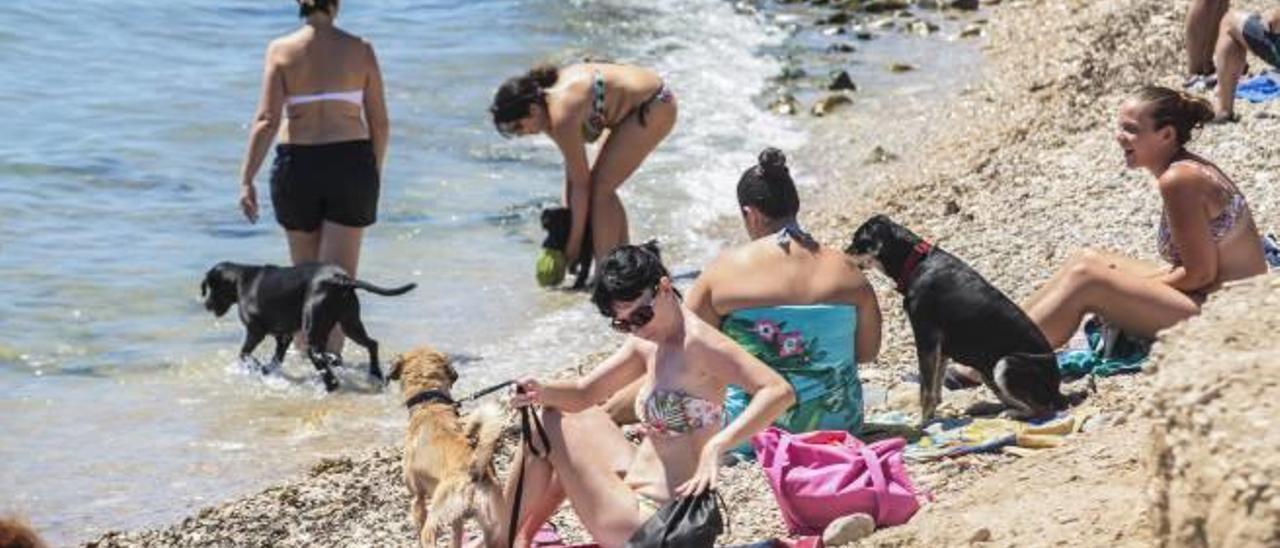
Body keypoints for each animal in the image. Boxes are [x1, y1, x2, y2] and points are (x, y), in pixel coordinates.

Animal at [200, 263, 414, 391]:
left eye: (211, 288)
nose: (206, 305)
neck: (240, 279)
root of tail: (339, 279)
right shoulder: (283, 336)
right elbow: (276, 359)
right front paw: (267, 371)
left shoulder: (255, 332)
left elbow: (244, 354)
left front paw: (257, 367)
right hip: (349, 324)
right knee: (372, 343)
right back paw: (375, 373)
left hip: (315, 334)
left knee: (329, 374)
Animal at [386, 348, 506, 545]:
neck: (429, 403)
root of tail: (476, 472)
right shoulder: (457, 521)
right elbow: (456, 540)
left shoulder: (417, 498)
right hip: (495, 529)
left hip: (434, 521)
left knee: (427, 535)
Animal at [844, 216, 1075, 422]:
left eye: (857, 242)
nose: (842, 253)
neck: (915, 262)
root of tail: (1057, 389)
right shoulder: (941, 349)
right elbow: (936, 387)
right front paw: (932, 417)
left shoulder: (926, 338)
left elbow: (925, 390)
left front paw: (921, 423)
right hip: (987, 372)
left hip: (1006, 364)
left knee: (1041, 408)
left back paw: (1011, 413)